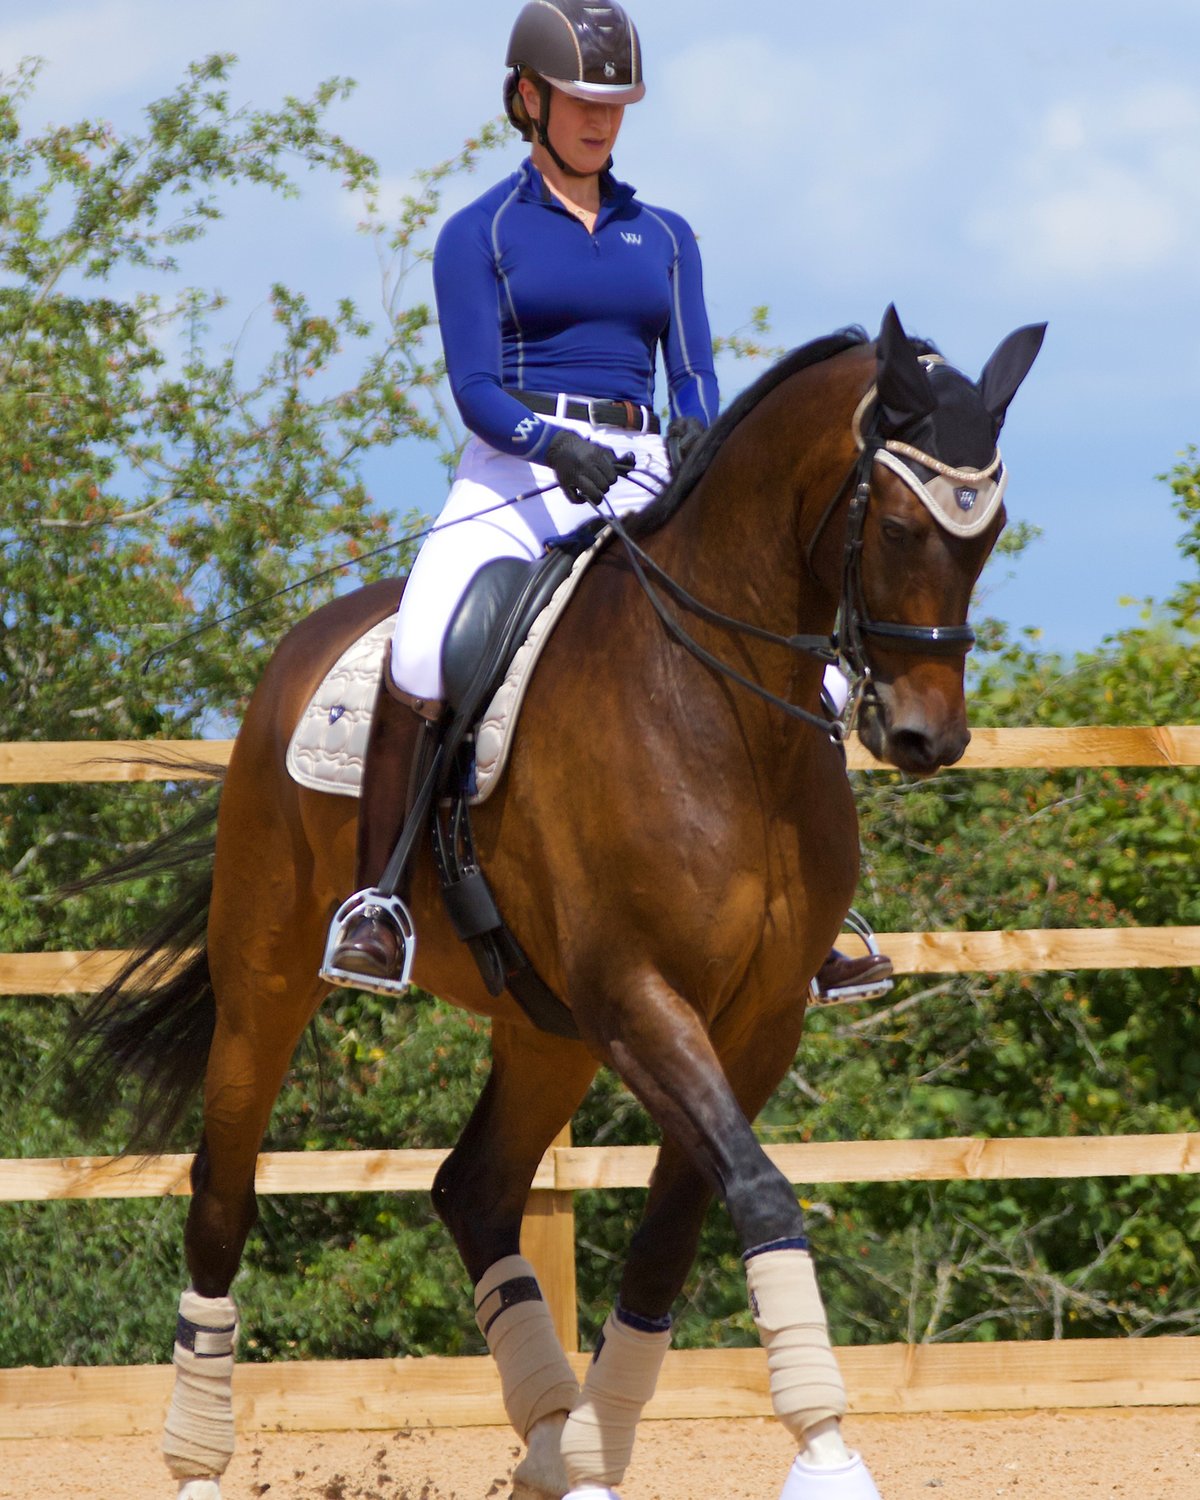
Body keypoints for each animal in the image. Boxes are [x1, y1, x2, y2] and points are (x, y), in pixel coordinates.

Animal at [69, 306, 1043, 1500]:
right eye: (901, 526)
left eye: (988, 535)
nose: (924, 737)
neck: (722, 711)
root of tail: (297, 653)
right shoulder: (638, 997)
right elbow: (762, 1193)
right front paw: (824, 1453)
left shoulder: (756, 1020)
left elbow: (680, 1229)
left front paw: (601, 1446)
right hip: (271, 978)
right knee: (223, 1188)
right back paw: (202, 1463)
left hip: (546, 1030)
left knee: (474, 1189)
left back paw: (549, 1438)